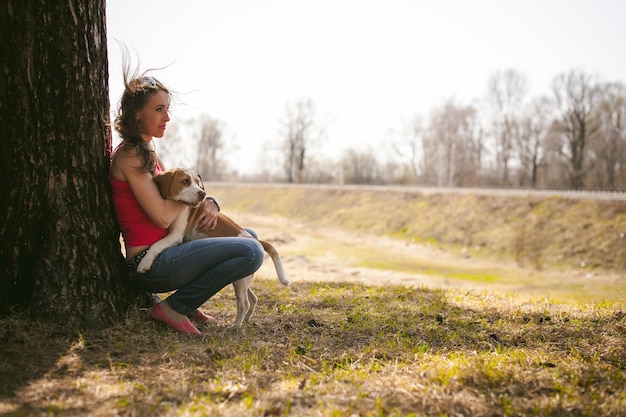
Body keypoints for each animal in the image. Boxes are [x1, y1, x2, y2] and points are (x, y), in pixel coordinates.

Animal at [135, 167, 290, 326]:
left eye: (198, 183)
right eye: (185, 181)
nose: (203, 194)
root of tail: (255, 240)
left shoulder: (176, 235)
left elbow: (156, 245)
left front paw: (144, 263)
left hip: (240, 281)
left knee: (244, 304)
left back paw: (236, 326)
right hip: (243, 278)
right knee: (253, 298)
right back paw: (246, 319)